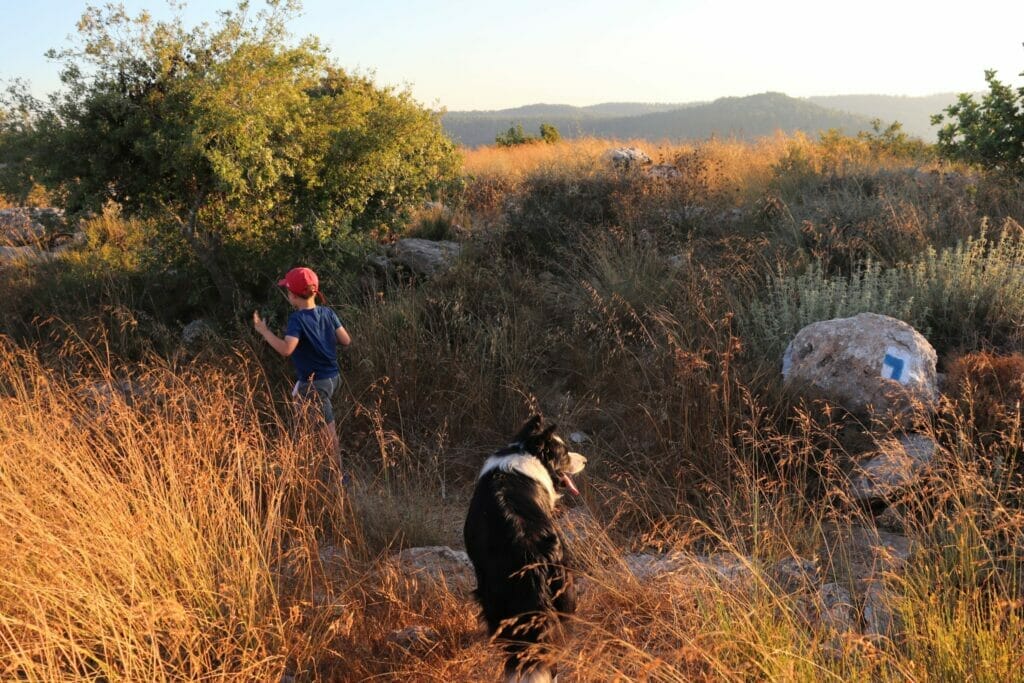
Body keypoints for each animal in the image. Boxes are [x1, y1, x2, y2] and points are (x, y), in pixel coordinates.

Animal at [462, 417, 585, 683]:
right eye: (564, 454)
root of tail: (530, 551)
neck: (527, 451)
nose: (585, 460)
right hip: (559, 584)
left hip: (501, 595)